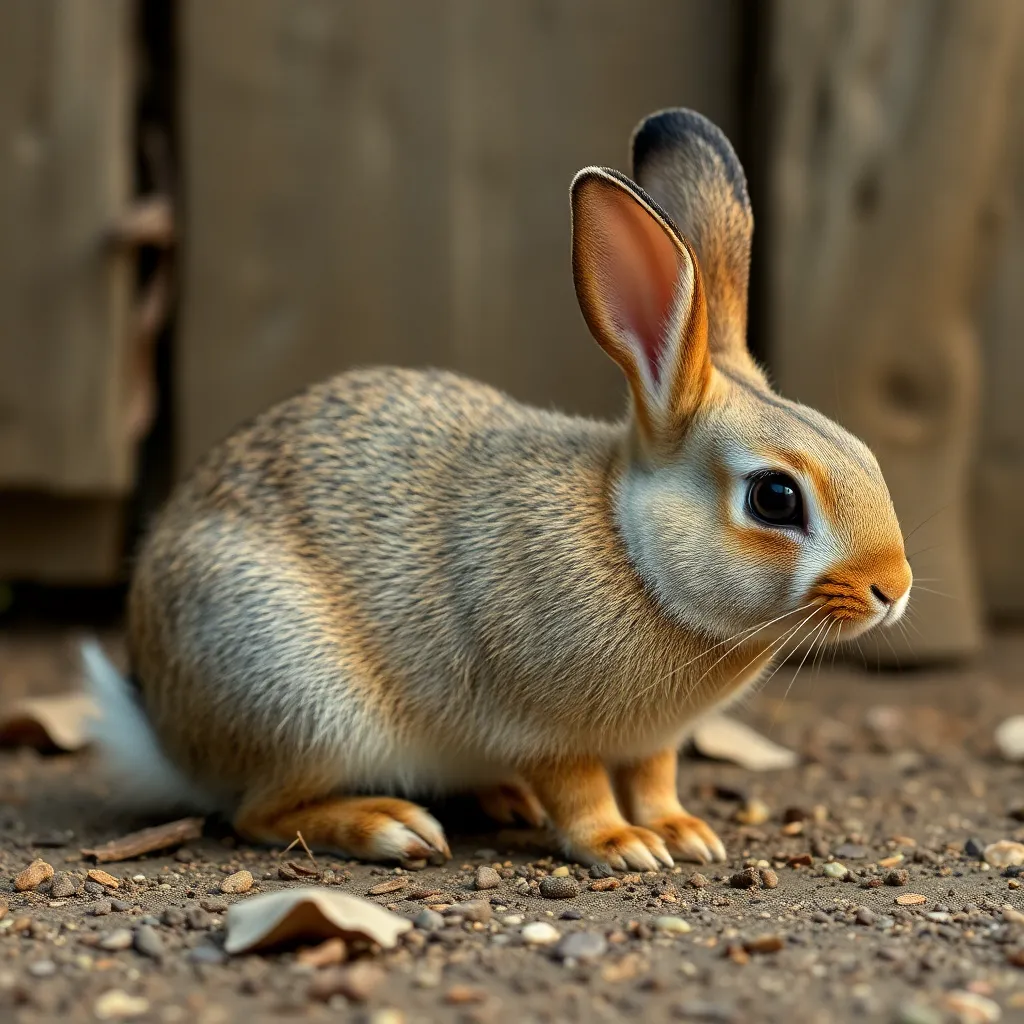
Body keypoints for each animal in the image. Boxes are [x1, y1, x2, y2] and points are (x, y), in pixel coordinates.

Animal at [84, 109, 911, 870]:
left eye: (866, 454)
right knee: (259, 811)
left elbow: (654, 777)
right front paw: (624, 846)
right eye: (774, 498)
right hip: (299, 697)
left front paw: (683, 832)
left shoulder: (652, 744)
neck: (633, 550)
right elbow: (579, 789)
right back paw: (391, 827)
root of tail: (166, 729)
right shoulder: (540, 725)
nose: (892, 589)